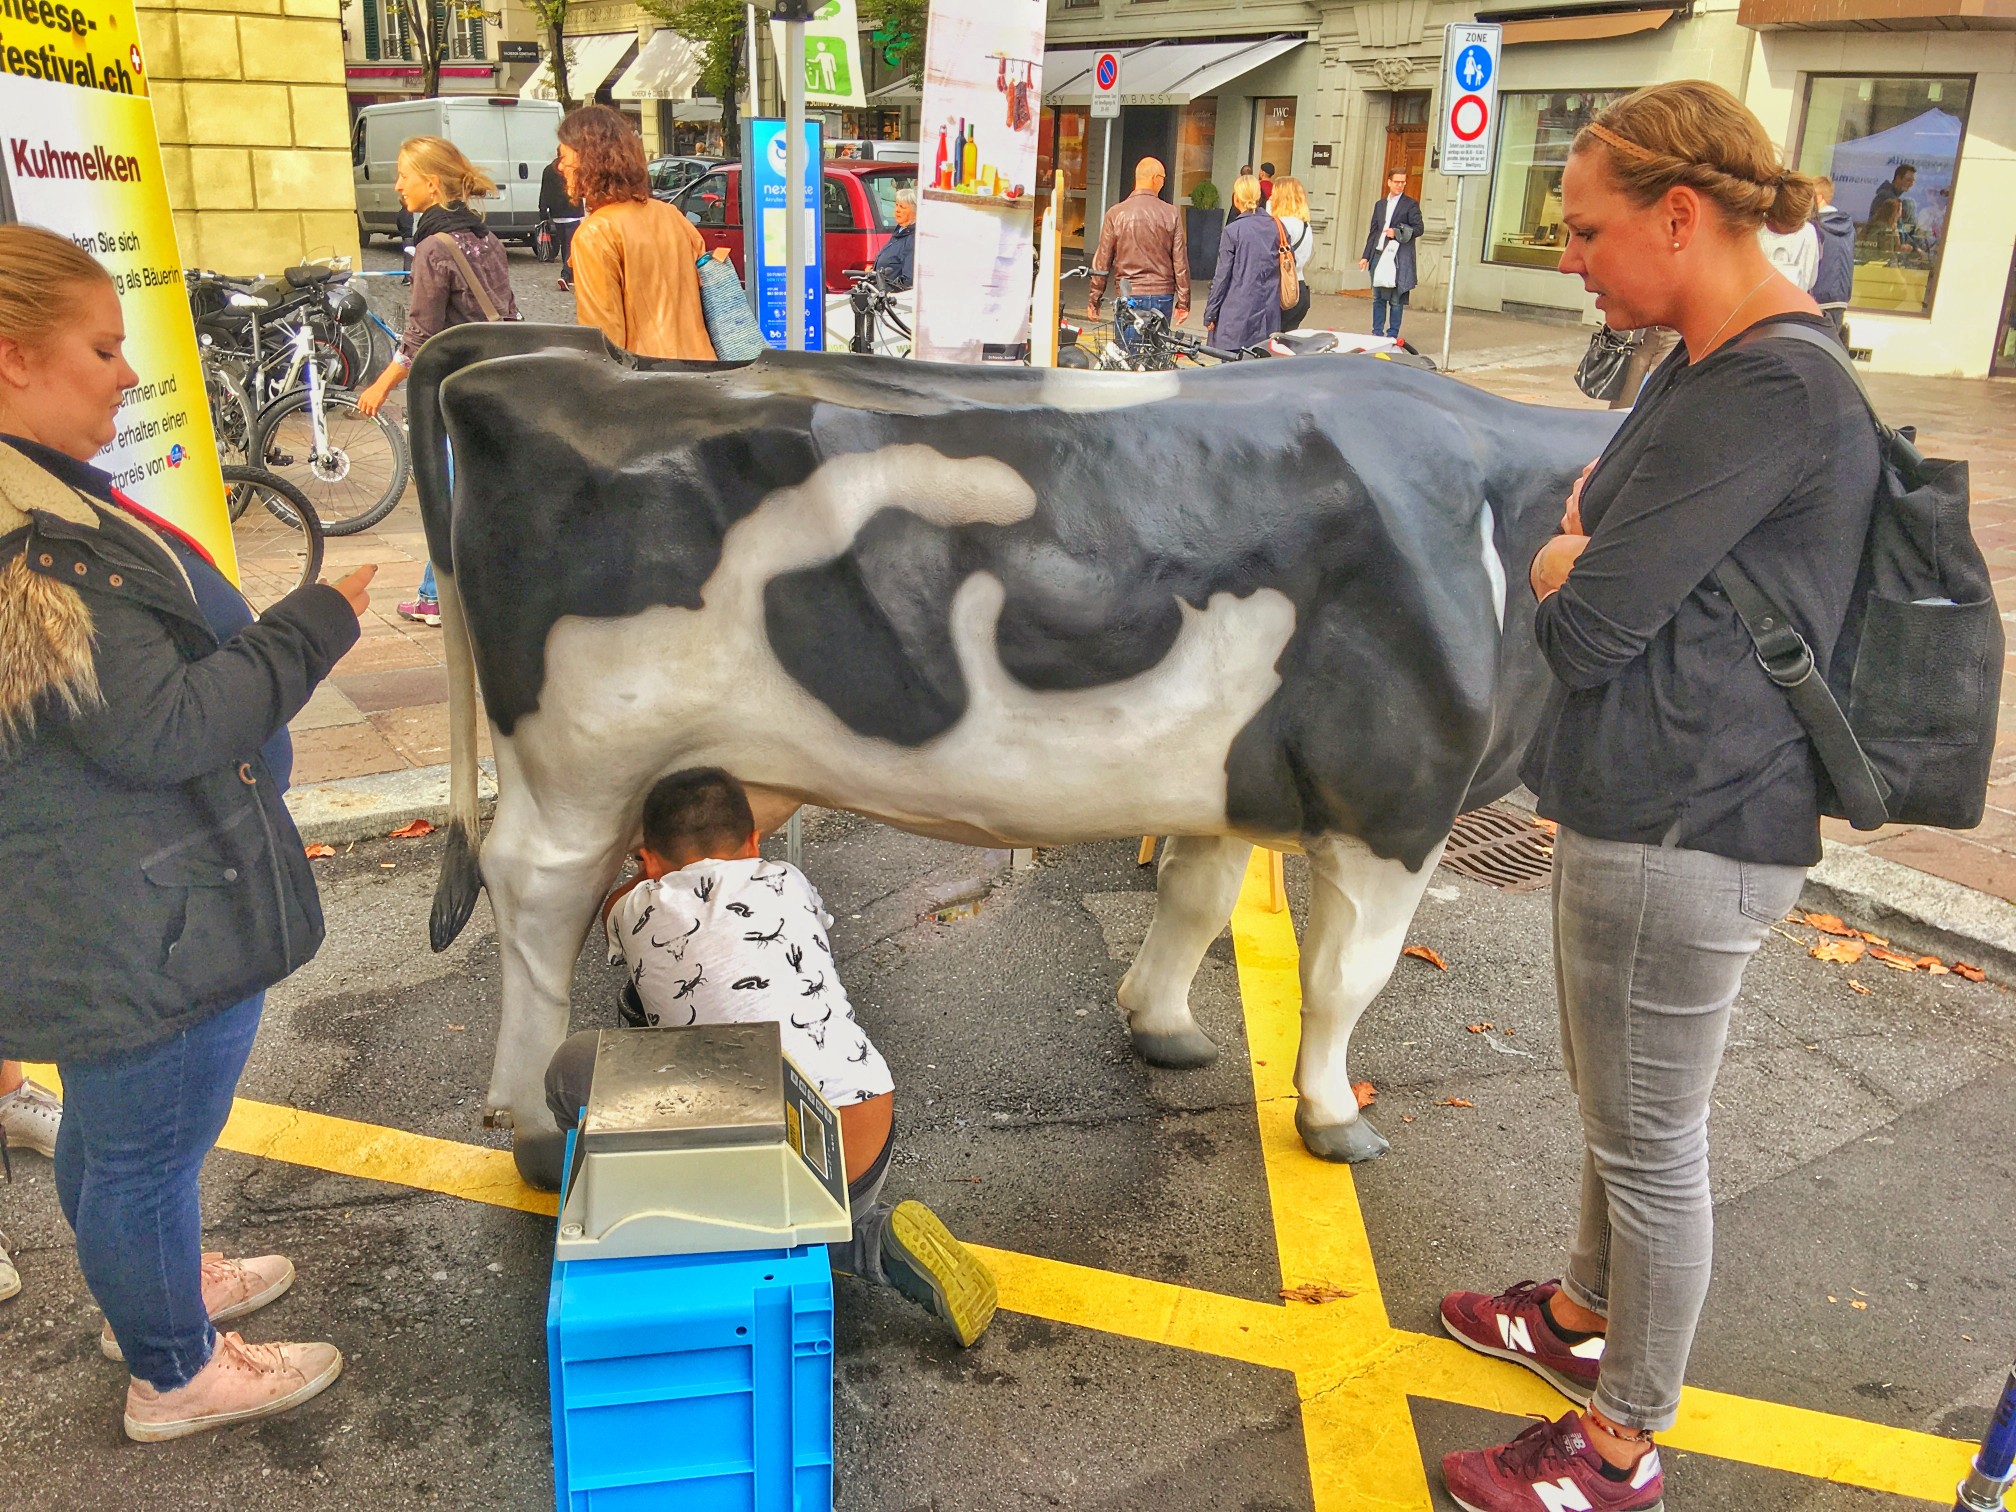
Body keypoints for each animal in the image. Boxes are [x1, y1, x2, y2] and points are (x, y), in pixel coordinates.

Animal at [409, 326, 1620, 1193]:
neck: (1501, 504)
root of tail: (545, 360)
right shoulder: (1397, 800)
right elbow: (1345, 978)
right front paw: (1335, 1118)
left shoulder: (1225, 779)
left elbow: (1195, 901)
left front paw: (1161, 1025)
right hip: (583, 760)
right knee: (537, 897)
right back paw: (529, 1126)